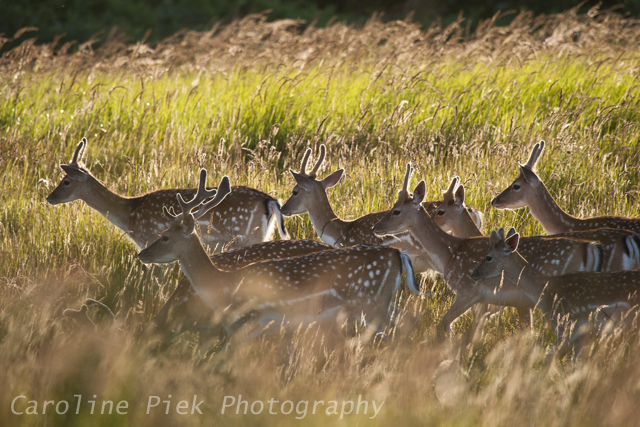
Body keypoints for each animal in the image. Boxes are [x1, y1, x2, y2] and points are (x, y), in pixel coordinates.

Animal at [47, 137, 290, 251]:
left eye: (65, 181)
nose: (49, 198)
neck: (130, 214)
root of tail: (270, 200)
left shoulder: (150, 237)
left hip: (246, 236)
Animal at [139, 169, 420, 340]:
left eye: (165, 235)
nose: (142, 253)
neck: (221, 283)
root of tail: (398, 255)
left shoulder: (247, 323)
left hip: (370, 305)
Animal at [376, 163, 616, 332]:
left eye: (396, 211)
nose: (376, 227)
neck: (449, 253)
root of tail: (592, 249)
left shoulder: (469, 291)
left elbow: (445, 324)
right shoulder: (488, 301)